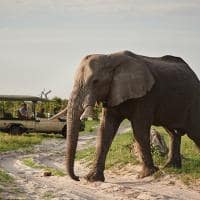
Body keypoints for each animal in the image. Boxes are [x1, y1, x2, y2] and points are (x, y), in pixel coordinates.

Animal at [65, 50, 200, 181]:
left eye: (95, 81)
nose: (77, 178)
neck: (109, 58)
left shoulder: (146, 96)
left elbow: (139, 130)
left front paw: (146, 174)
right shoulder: (112, 94)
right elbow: (105, 130)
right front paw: (92, 179)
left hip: (194, 102)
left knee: (194, 133)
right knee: (173, 133)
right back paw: (171, 167)